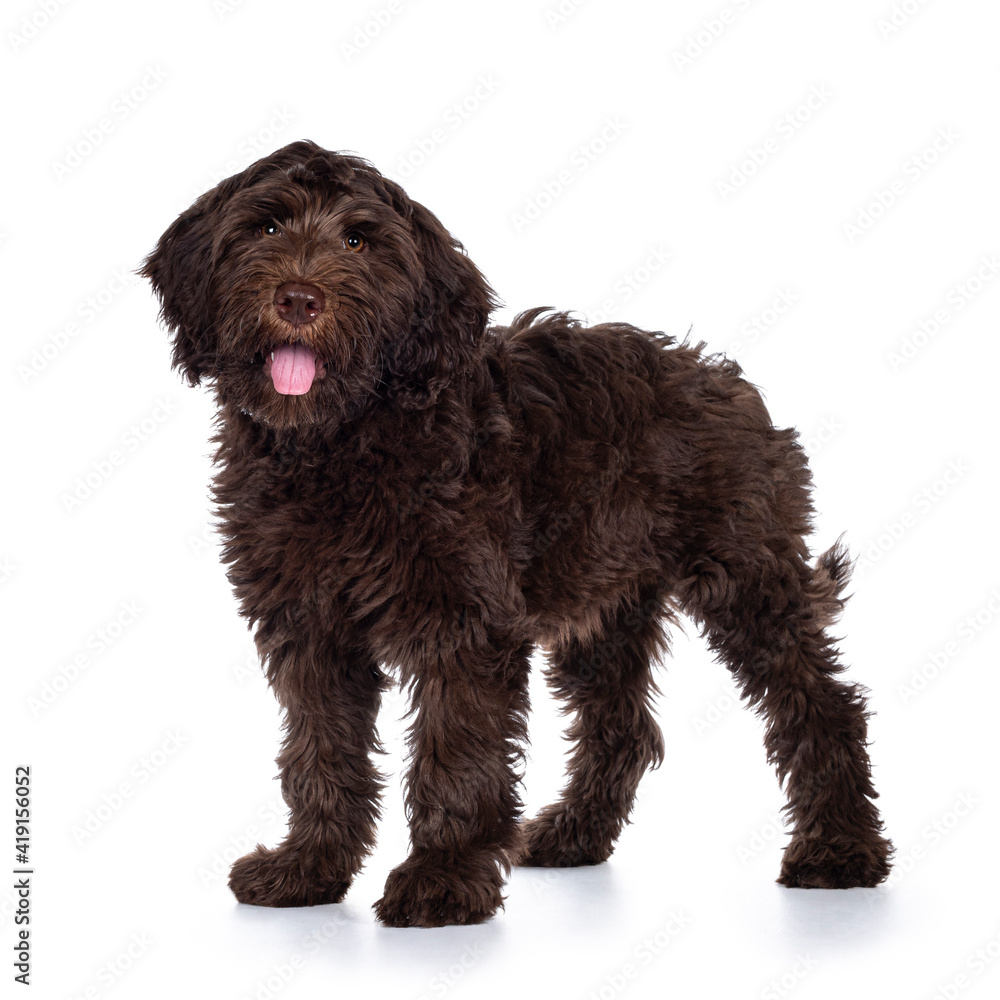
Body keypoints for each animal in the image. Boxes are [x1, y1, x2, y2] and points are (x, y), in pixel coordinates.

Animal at [141, 141, 892, 928]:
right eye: (264, 228)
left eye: (359, 241)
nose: (297, 299)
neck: (340, 441)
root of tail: (725, 377)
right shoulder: (309, 627)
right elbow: (321, 752)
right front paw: (308, 868)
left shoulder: (463, 622)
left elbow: (458, 751)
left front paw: (442, 879)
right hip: (606, 603)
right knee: (622, 727)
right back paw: (573, 835)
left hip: (745, 578)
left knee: (822, 703)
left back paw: (840, 850)